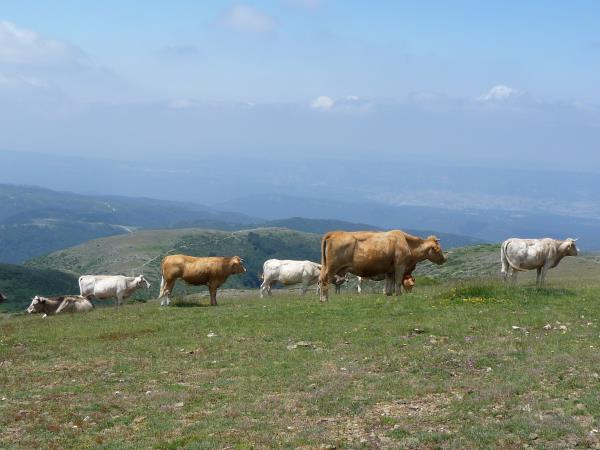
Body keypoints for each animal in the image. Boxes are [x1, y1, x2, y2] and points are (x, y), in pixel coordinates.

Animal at [318, 230, 446, 300]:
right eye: (438, 249)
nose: (444, 259)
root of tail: (333, 233)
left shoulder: (389, 270)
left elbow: (389, 283)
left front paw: (388, 294)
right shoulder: (400, 266)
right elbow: (397, 282)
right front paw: (398, 294)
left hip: (325, 266)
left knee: (321, 280)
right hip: (332, 268)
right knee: (325, 281)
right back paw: (324, 299)